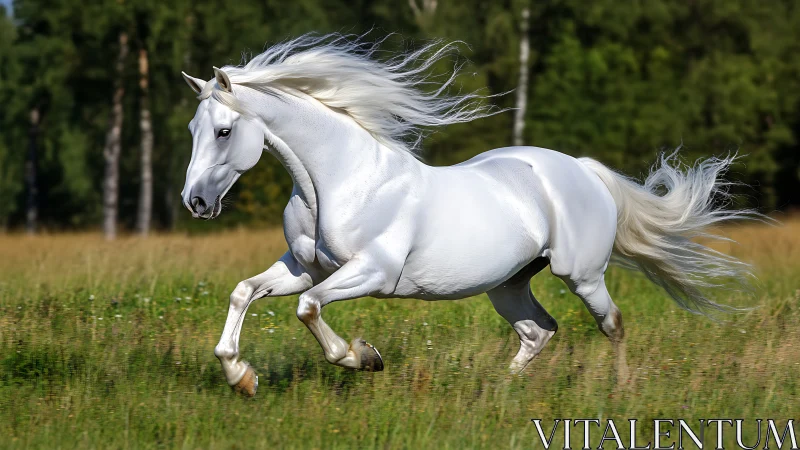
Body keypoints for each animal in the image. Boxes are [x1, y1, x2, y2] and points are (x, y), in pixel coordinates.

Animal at [180, 34, 756, 397]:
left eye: (224, 131)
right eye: (192, 127)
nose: (196, 203)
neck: (339, 181)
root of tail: (584, 170)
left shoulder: (372, 273)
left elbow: (309, 310)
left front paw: (363, 357)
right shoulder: (304, 268)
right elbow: (245, 293)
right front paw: (241, 377)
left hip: (582, 274)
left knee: (610, 324)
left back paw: (621, 391)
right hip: (508, 284)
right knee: (539, 332)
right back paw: (499, 391)